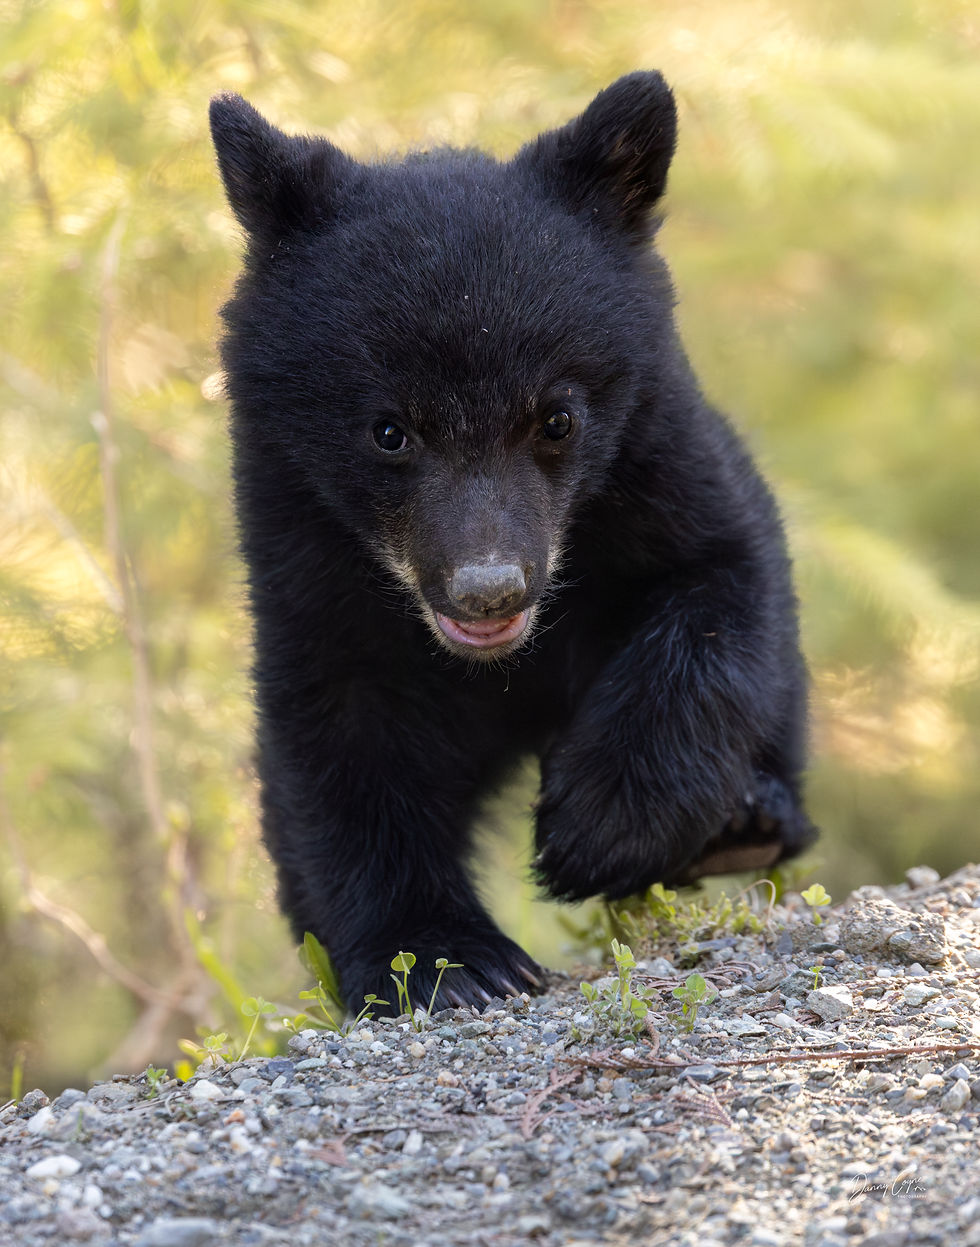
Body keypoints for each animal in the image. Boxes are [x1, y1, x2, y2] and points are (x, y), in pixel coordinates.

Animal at [209, 72, 816, 1013]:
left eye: (556, 418)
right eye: (389, 430)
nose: (488, 587)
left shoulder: (662, 455)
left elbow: (719, 584)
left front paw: (599, 826)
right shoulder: (301, 545)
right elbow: (343, 735)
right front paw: (446, 959)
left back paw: (749, 820)